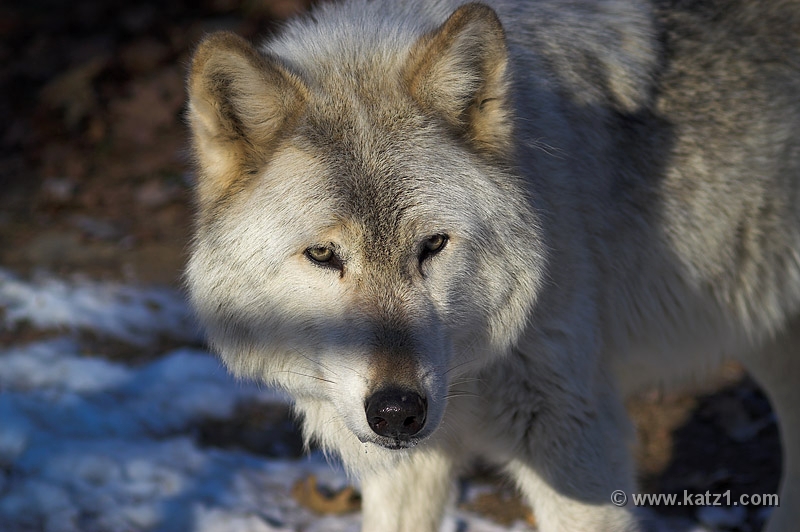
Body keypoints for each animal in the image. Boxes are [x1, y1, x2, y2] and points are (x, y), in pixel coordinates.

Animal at [184, 0, 800, 530]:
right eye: (323, 255)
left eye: (433, 245)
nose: (397, 411)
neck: (473, 371)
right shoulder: (408, 466)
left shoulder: (576, 443)